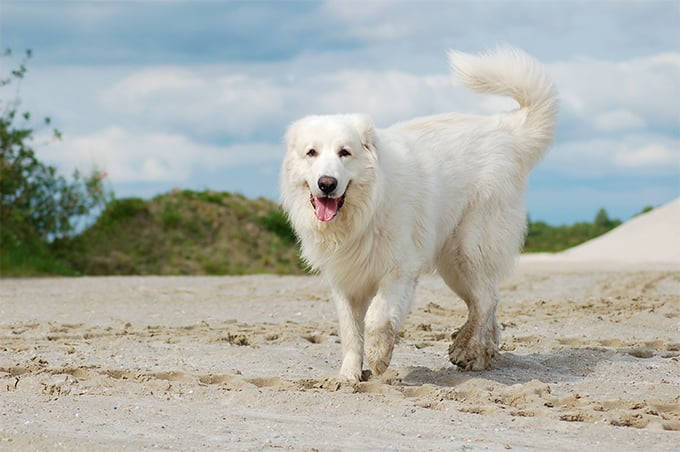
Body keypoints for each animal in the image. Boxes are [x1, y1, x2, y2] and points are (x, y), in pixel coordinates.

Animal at [278, 46, 556, 382]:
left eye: (345, 152)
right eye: (312, 153)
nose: (327, 184)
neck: (365, 212)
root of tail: (506, 129)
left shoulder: (399, 270)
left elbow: (377, 318)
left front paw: (379, 357)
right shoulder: (345, 281)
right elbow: (350, 331)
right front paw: (348, 376)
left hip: (469, 248)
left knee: (486, 299)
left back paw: (467, 349)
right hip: (453, 264)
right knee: (485, 301)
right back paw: (480, 353)